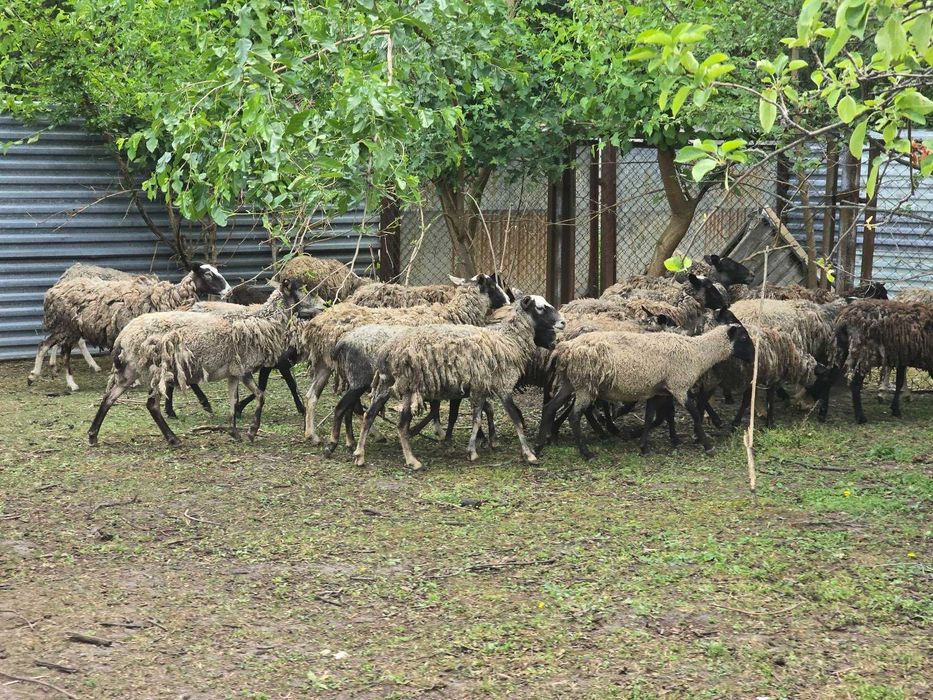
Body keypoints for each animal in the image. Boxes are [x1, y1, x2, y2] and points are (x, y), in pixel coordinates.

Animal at [29, 262, 232, 393]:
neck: (171, 297)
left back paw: (35, 375)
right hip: (68, 327)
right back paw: (71, 382)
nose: (229, 291)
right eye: (208, 275)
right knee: (63, 351)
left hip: (65, 328)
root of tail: (53, 290)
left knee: (45, 344)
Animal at [87, 279, 319, 446]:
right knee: (151, 405)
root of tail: (123, 337)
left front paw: (234, 432)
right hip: (155, 368)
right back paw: (173, 438)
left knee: (109, 398)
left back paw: (92, 435)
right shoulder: (243, 369)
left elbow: (233, 401)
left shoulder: (234, 372)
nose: (320, 309)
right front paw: (252, 431)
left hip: (131, 369)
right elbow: (261, 395)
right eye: (302, 291)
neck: (261, 320)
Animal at [296, 274, 510, 443]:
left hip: (325, 364)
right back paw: (371, 434)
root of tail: (316, 325)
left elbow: (437, 405)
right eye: (493, 285)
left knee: (312, 396)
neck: (453, 315)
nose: (508, 301)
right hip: (351, 370)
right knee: (351, 405)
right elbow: (438, 405)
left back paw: (312, 435)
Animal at [350, 296, 566, 470]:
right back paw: (412, 461)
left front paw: (472, 451)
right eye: (540, 308)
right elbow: (515, 419)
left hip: (386, 384)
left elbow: (477, 418)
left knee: (369, 415)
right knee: (401, 424)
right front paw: (529, 455)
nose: (563, 322)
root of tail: (387, 352)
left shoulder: (480, 387)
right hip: (410, 386)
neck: (508, 339)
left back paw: (360, 455)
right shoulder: (503, 386)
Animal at [538, 322, 754, 459]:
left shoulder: (657, 390)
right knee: (574, 416)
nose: (754, 356)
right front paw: (708, 446)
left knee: (549, 408)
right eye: (744, 337)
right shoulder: (679, 385)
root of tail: (565, 348)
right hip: (585, 385)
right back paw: (586, 453)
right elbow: (694, 413)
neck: (698, 353)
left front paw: (643, 447)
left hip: (570, 382)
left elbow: (650, 417)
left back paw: (539, 447)